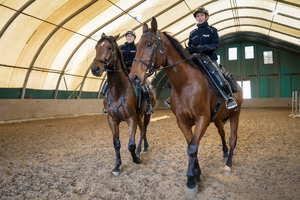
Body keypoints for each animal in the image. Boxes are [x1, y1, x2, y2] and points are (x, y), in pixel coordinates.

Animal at [90, 33, 157, 176]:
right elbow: (116, 144)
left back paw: (141, 150)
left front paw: (136, 159)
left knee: (144, 129)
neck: (118, 90)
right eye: (96, 47)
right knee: (142, 129)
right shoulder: (112, 120)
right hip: (139, 116)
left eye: (109, 48)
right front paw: (117, 166)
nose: (95, 69)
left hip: (146, 114)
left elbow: (130, 145)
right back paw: (144, 148)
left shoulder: (131, 118)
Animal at [127, 17, 243, 194]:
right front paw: (197, 174)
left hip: (235, 115)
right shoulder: (182, 122)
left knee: (232, 138)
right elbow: (191, 146)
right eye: (137, 45)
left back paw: (228, 164)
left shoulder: (202, 119)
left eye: (149, 44)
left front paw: (190, 181)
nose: (134, 77)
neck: (186, 84)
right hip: (218, 119)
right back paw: (224, 154)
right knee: (222, 134)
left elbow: (193, 148)